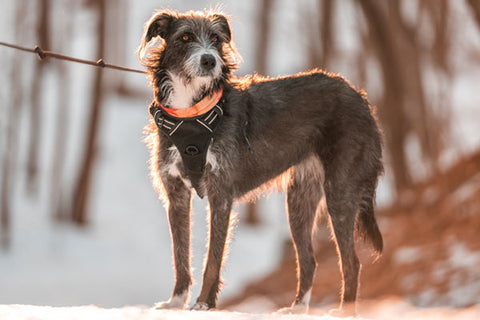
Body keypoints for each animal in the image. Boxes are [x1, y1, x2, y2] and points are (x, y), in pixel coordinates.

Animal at [138, 8, 382, 316]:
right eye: (185, 37)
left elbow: (213, 260)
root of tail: (361, 99)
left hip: (340, 192)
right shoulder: (176, 195)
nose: (210, 60)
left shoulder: (221, 194)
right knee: (309, 261)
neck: (192, 113)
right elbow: (180, 256)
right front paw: (176, 302)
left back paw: (344, 310)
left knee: (351, 262)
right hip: (299, 199)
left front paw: (204, 303)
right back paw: (297, 308)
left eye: (215, 40)